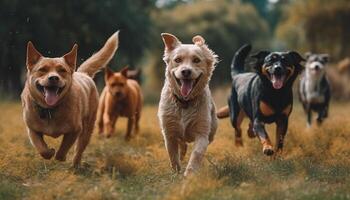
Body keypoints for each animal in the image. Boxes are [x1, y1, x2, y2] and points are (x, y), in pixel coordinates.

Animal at [20, 31, 119, 166]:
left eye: (62, 70)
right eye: (42, 69)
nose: (53, 78)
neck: (50, 110)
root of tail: (83, 73)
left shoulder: (75, 130)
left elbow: (64, 147)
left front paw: (61, 157)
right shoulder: (32, 129)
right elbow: (41, 148)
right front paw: (49, 152)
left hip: (87, 129)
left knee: (79, 148)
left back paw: (75, 164)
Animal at [159, 32, 219, 177]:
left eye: (196, 60)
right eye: (177, 60)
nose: (186, 71)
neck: (185, 102)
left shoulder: (202, 133)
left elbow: (197, 153)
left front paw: (190, 174)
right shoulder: (169, 131)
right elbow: (172, 154)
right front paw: (176, 172)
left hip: (212, 129)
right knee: (182, 142)